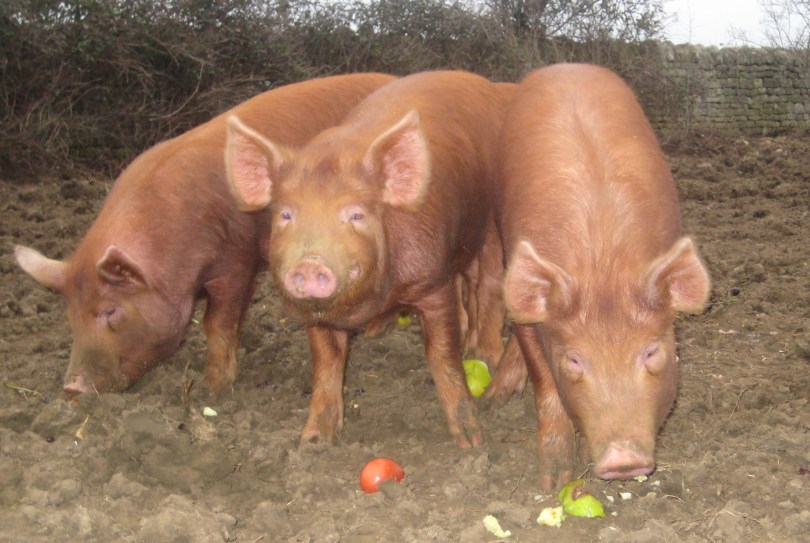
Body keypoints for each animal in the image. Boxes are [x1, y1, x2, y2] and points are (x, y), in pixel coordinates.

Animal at [14, 73, 396, 395]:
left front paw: (215, 387)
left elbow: (216, 322)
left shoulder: (236, 260)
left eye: (110, 310)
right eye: (70, 316)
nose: (72, 389)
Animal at [224, 71, 515, 448]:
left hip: (491, 221)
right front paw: (313, 442)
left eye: (356, 215)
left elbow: (442, 355)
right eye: (286, 214)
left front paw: (470, 441)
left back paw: (484, 356)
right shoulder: (314, 315)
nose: (310, 262)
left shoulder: (432, 282)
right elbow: (327, 363)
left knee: (489, 284)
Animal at [496, 64, 711, 491]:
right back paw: (497, 398)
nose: (623, 460)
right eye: (575, 360)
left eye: (651, 351)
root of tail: (566, 65)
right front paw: (555, 481)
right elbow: (542, 376)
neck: (603, 264)